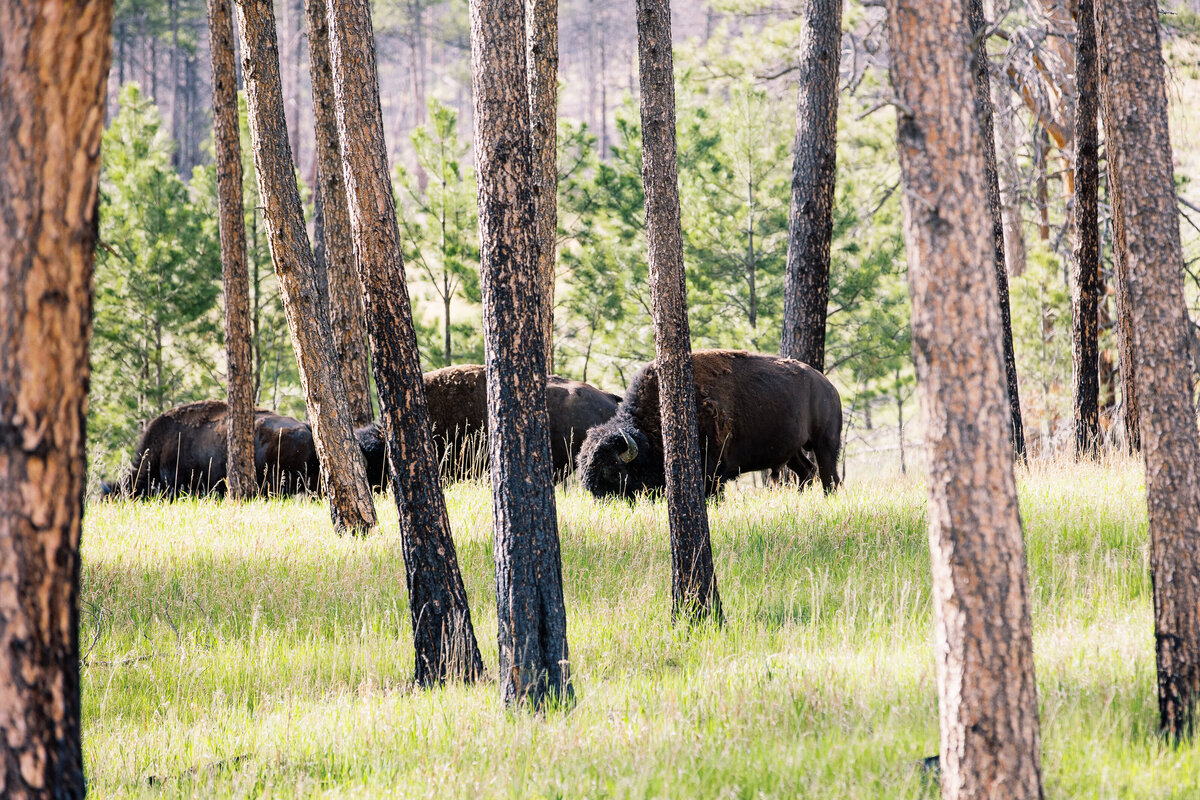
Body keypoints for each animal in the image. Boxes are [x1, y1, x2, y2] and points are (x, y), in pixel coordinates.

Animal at [573, 350, 840, 501]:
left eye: (612, 471)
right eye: (584, 472)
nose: (601, 500)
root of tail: (827, 385)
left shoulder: (712, 474)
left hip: (825, 442)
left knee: (829, 477)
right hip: (792, 450)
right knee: (806, 471)